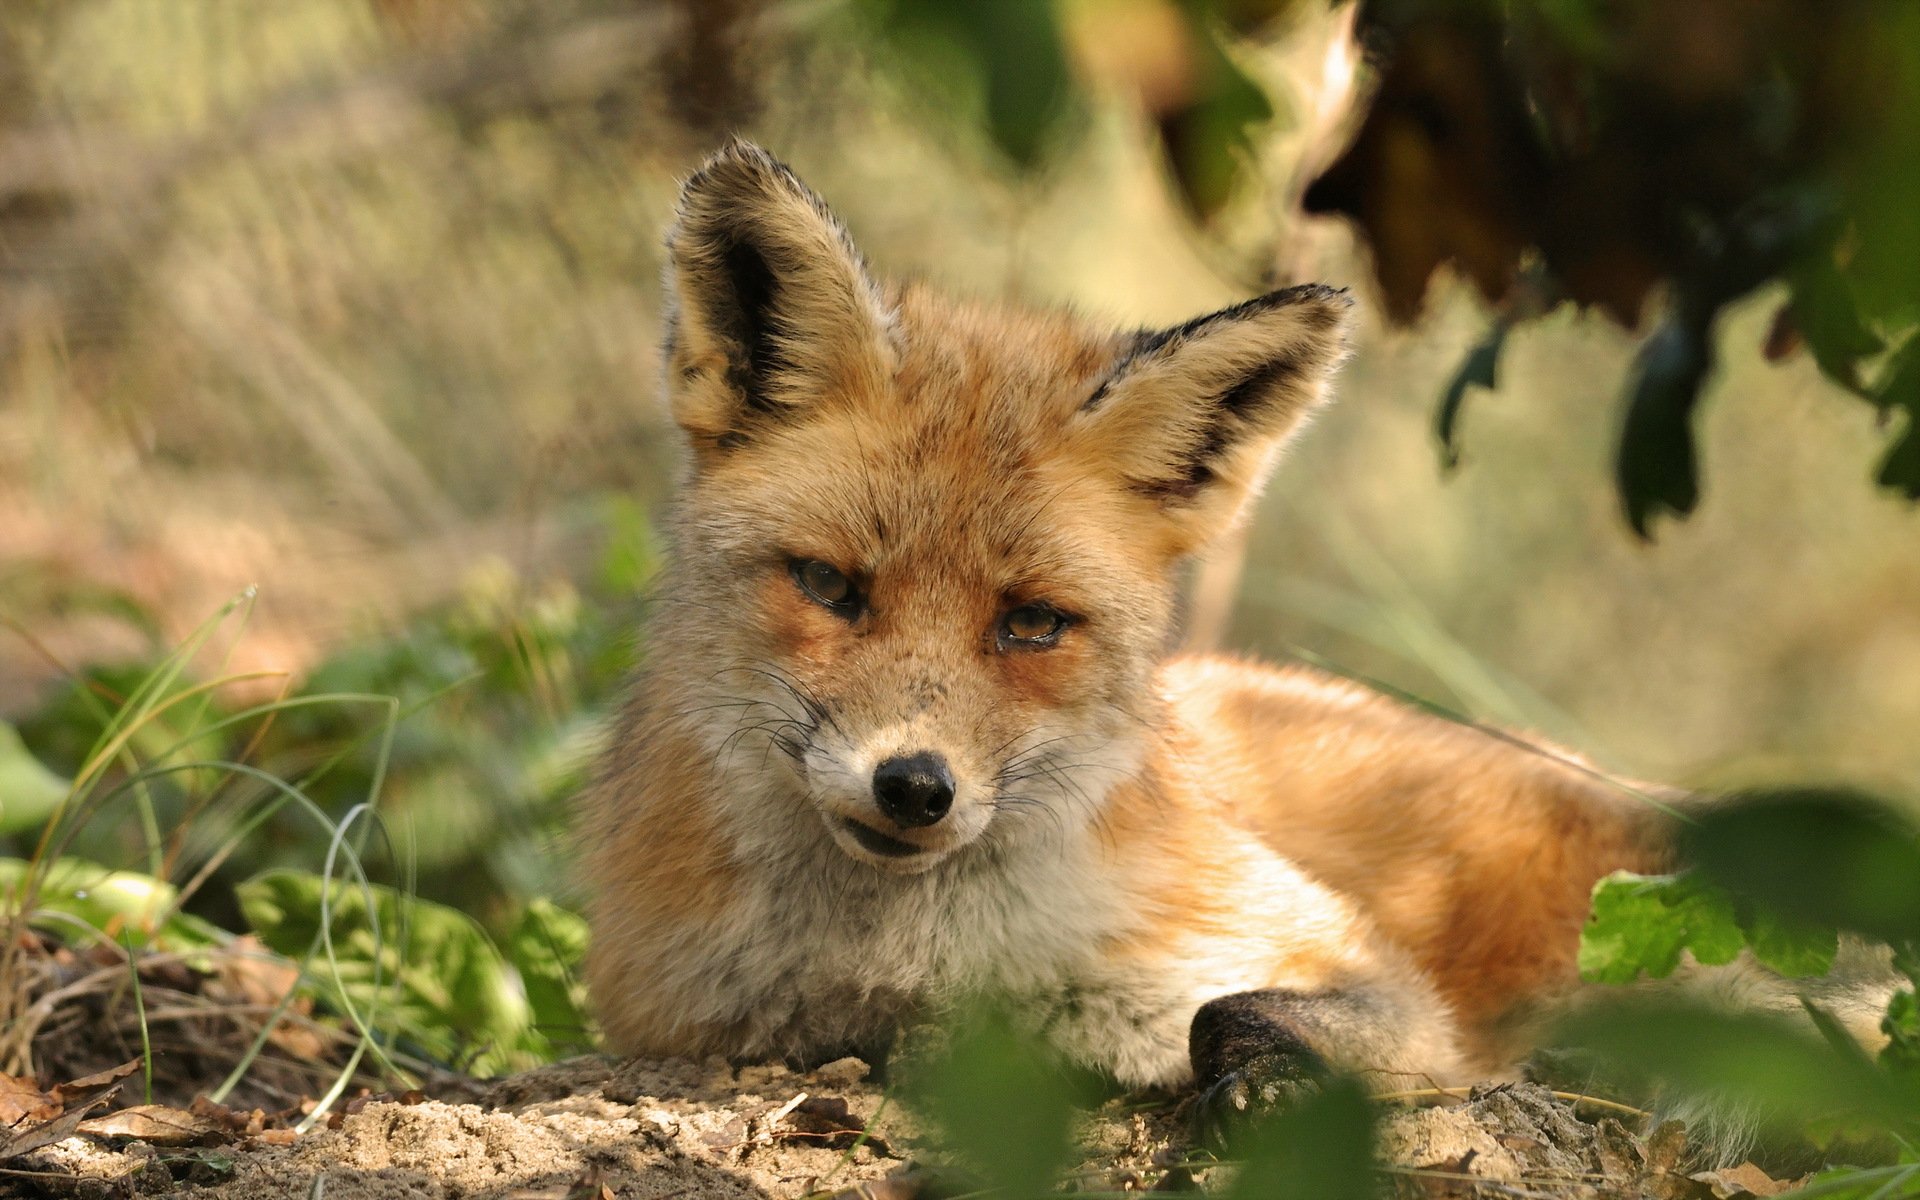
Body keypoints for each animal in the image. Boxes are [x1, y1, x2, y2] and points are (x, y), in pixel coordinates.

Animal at [579, 140, 1887, 1124]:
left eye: (1032, 623)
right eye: (832, 586)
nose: (915, 787)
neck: (899, 961)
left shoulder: (1359, 971)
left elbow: (1236, 1016)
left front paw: (1262, 1080)